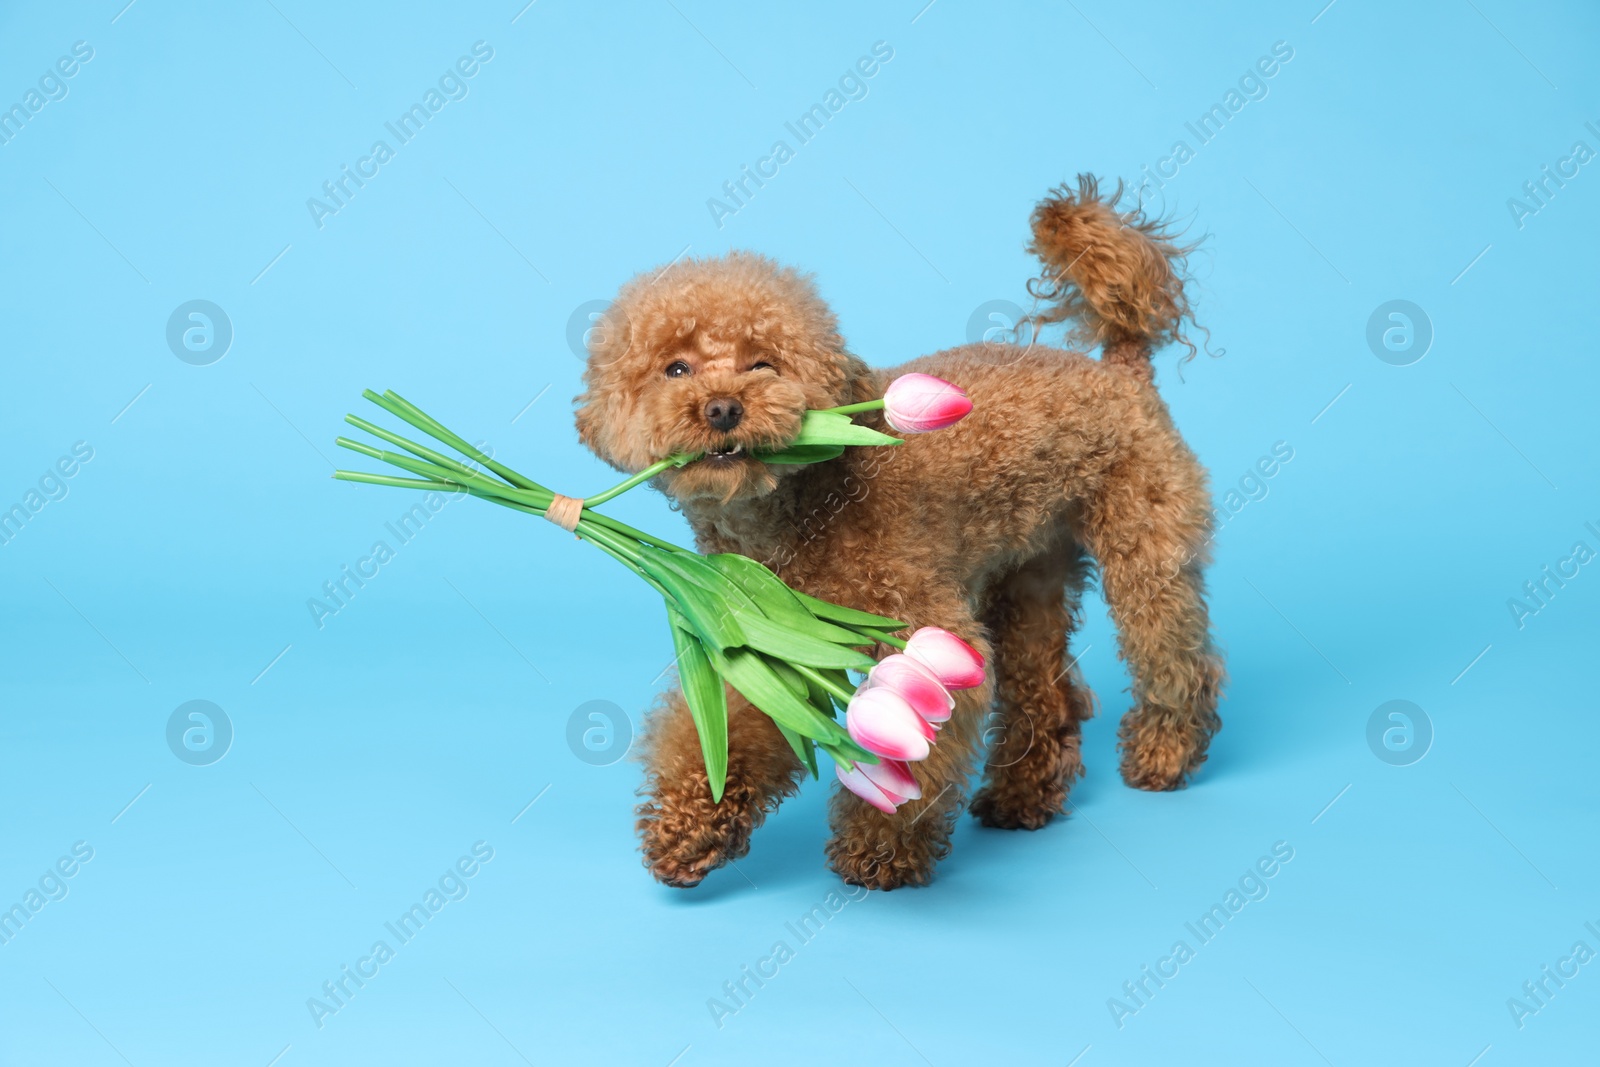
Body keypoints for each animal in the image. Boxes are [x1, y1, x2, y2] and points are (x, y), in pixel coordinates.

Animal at [576, 177, 1222, 895]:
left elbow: (914, 756)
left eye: (765, 364)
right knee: (1046, 691)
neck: (802, 501)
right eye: (676, 369)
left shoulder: (926, 633)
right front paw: (691, 831)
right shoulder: (766, 635)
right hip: (1028, 575)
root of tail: (1120, 369)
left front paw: (880, 852)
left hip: (1146, 544)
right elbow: (733, 728)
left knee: (1175, 657)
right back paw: (1023, 798)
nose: (721, 409)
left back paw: (1165, 754)